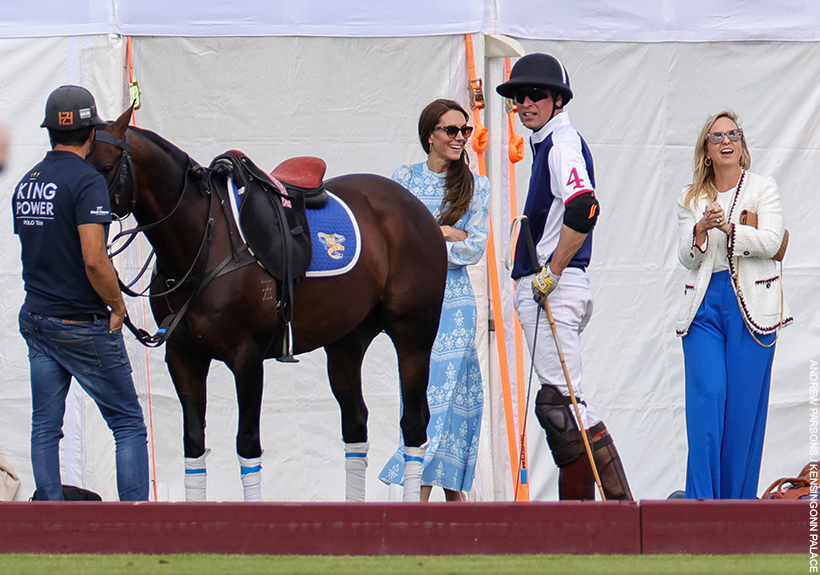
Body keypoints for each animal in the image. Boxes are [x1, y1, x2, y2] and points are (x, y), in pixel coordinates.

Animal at [86, 107, 446, 500]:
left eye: (106, 166)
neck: (203, 242)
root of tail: (414, 204)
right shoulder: (183, 357)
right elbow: (193, 445)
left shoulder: (246, 358)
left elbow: (247, 446)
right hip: (347, 341)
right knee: (355, 425)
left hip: (413, 336)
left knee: (413, 425)